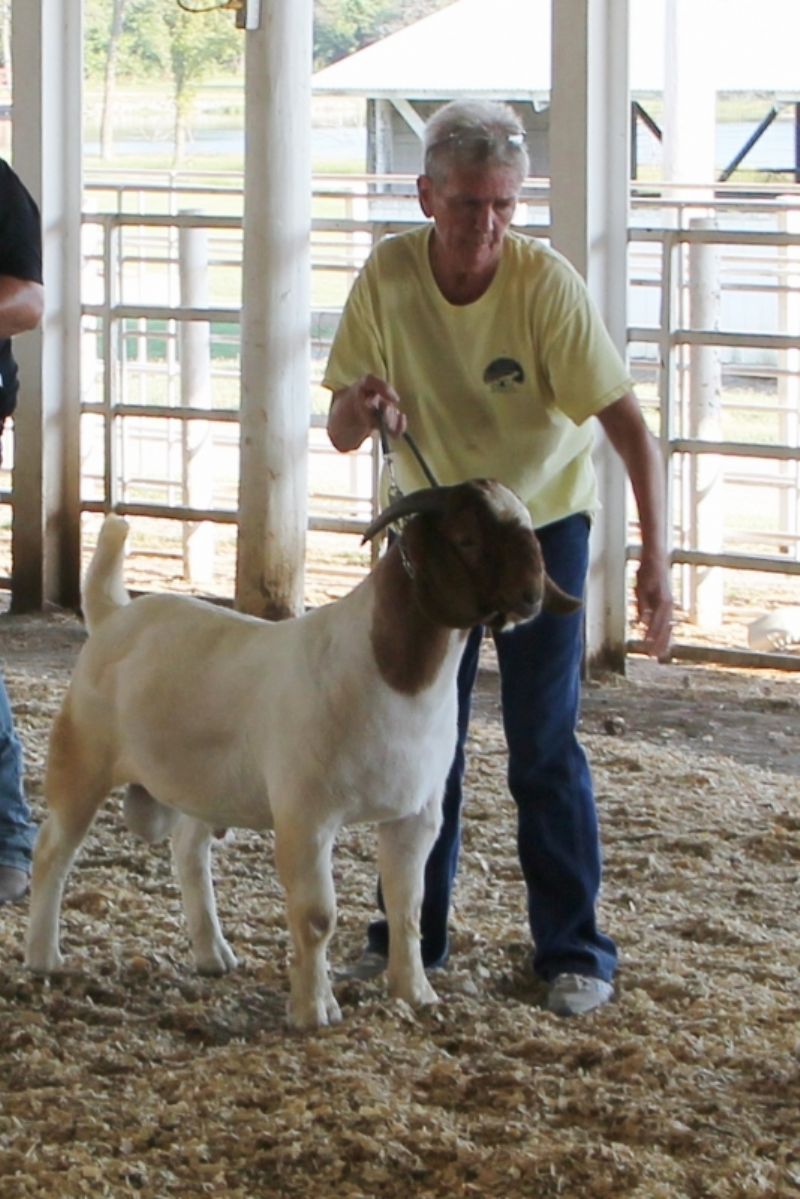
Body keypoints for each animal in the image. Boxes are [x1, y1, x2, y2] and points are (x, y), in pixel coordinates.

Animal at [21, 477, 578, 1031]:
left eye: (530, 531)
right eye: (466, 539)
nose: (531, 597)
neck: (388, 673)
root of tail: (112, 614)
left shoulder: (417, 815)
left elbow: (408, 909)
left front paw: (415, 993)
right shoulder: (306, 815)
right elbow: (316, 917)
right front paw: (314, 1010)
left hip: (204, 786)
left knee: (188, 852)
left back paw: (212, 954)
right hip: (82, 759)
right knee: (53, 851)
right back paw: (44, 957)